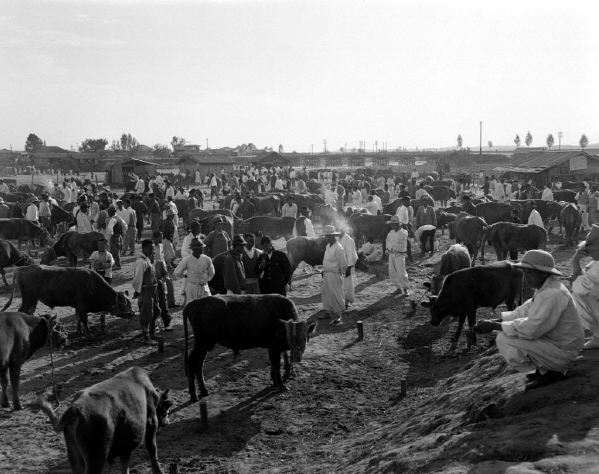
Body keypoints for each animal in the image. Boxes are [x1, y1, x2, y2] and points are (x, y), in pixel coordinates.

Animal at [2, 266, 134, 336]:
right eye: (125, 304)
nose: (133, 314)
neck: (92, 284)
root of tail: (21, 268)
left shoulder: (77, 306)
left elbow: (78, 318)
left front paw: (79, 331)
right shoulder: (82, 305)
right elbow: (84, 319)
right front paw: (89, 334)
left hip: (33, 301)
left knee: (30, 312)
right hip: (28, 299)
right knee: (22, 312)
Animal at [38, 366, 171, 474]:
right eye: (166, 405)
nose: (166, 422)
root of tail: (76, 408)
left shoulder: (127, 443)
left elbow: (125, 462)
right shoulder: (151, 421)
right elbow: (152, 447)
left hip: (75, 457)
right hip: (97, 458)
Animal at [185, 296, 318, 400]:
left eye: (303, 339)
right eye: (289, 339)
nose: (295, 357)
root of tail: (196, 301)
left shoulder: (273, 348)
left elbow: (273, 364)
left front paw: (274, 381)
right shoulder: (274, 347)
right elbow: (276, 364)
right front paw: (281, 385)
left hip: (205, 346)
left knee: (199, 364)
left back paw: (204, 390)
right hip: (202, 344)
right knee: (192, 362)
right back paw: (193, 394)